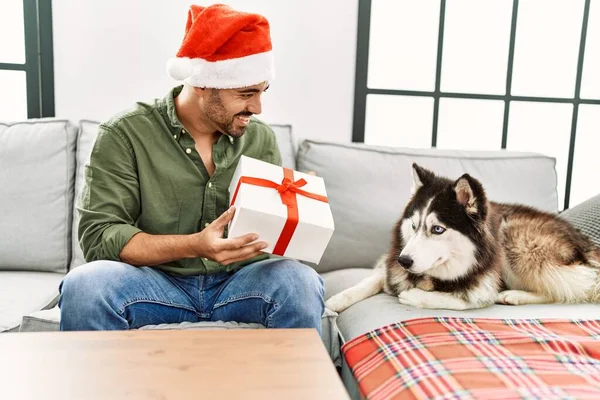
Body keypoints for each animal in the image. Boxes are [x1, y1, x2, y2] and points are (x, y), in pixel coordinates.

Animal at [326, 163, 600, 312]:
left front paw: (415, 295)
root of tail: (585, 242)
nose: (404, 261)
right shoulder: (390, 265)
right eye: (413, 226)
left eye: (437, 229)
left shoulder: (484, 285)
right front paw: (335, 301)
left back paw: (514, 295)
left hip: (515, 240)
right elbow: (373, 279)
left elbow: (464, 300)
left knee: (568, 288)